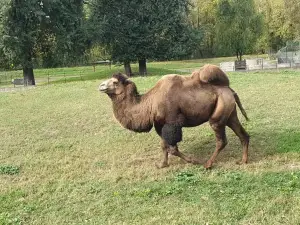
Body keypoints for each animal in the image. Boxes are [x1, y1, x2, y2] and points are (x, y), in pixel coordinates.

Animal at [98, 64, 248, 168]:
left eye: (115, 82)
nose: (101, 86)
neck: (150, 103)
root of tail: (230, 90)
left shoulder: (172, 122)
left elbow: (172, 148)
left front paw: (193, 160)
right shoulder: (160, 124)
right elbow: (164, 146)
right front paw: (162, 164)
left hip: (218, 115)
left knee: (221, 140)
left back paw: (208, 164)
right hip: (230, 114)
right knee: (243, 134)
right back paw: (243, 160)